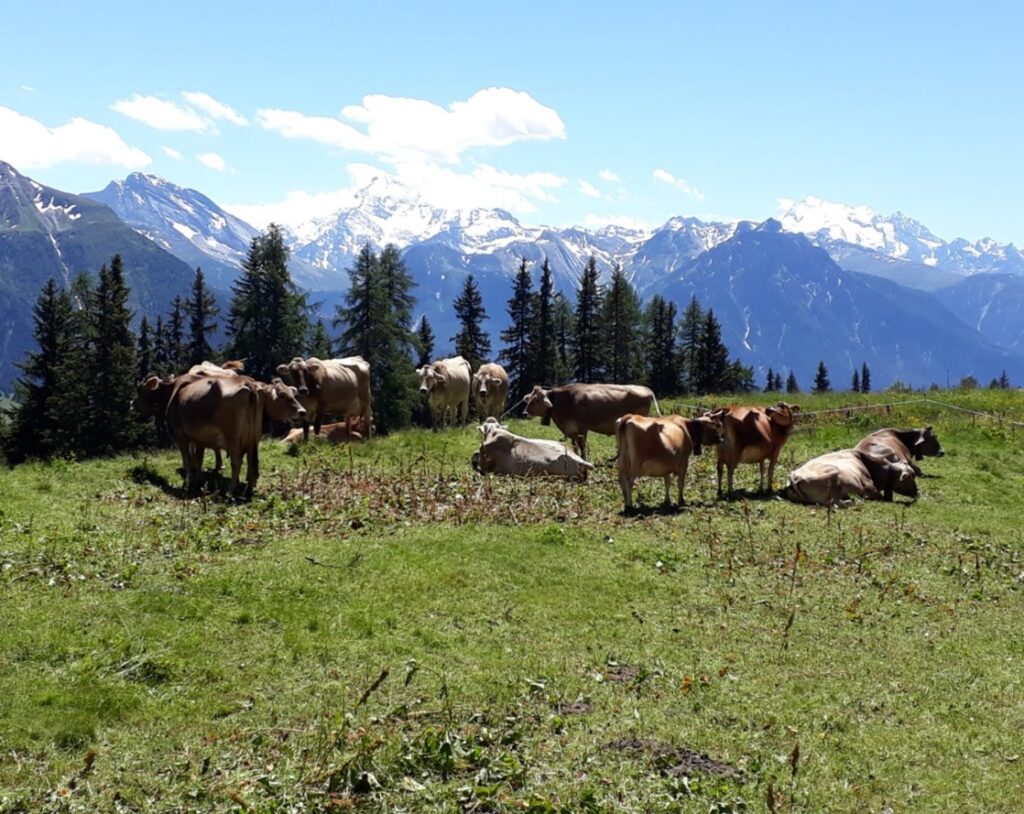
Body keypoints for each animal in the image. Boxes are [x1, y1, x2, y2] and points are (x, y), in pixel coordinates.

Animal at [165, 374, 303, 497]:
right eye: (283, 395)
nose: (302, 411)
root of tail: (248, 384)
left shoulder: (180, 436)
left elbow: (188, 461)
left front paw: (187, 485)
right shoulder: (200, 439)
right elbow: (198, 459)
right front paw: (198, 481)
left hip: (232, 437)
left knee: (236, 463)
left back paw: (230, 491)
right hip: (250, 439)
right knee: (251, 461)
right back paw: (248, 490)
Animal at [524, 384, 659, 460]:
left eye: (537, 400)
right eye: (529, 399)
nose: (524, 413)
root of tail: (645, 389)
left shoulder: (583, 428)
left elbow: (583, 446)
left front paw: (584, 459)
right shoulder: (572, 430)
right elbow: (575, 446)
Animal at [782, 448, 921, 505]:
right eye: (911, 477)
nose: (917, 492)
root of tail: (795, 475)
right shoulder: (869, 488)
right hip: (835, 474)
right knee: (833, 503)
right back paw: (852, 501)